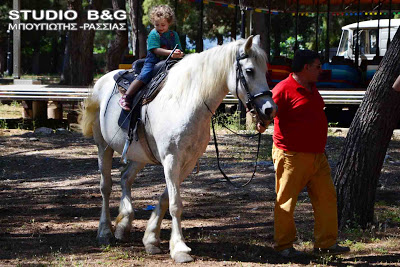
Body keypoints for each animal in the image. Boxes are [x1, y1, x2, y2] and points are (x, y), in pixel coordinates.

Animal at [79, 35, 276, 264]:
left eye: (265, 70)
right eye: (250, 70)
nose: (269, 110)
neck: (187, 101)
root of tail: (101, 82)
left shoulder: (187, 162)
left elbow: (166, 199)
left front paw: (151, 239)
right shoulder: (172, 159)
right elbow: (175, 204)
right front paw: (180, 248)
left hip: (140, 155)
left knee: (125, 178)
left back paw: (123, 224)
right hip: (104, 147)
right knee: (106, 186)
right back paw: (105, 232)